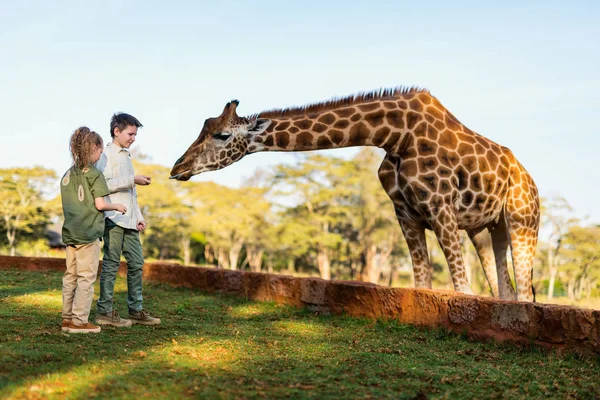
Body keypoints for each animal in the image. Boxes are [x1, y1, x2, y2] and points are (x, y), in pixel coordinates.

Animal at [171, 86, 540, 300]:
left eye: (221, 135)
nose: (177, 167)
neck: (394, 136)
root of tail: (530, 181)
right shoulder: (406, 214)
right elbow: (423, 285)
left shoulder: (440, 209)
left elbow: (462, 290)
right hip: (485, 228)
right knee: (505, 290)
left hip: (522, 221)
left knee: (523, 293)